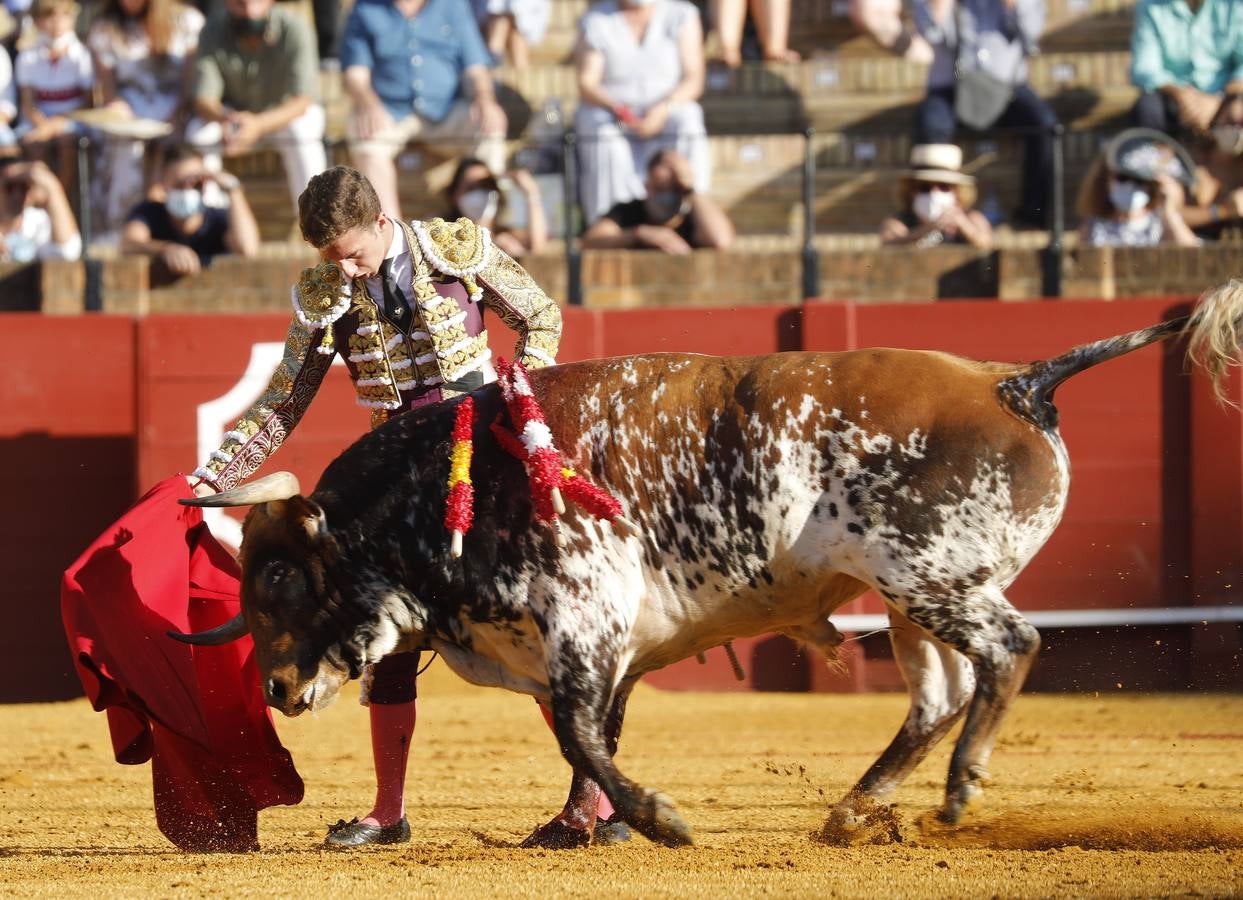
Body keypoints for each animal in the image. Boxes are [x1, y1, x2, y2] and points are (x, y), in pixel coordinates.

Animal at [172, 284, 1243, 845]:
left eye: (279, 579)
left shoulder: (584, 618)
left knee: (1010, 650)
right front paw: (593, 826)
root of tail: (1011, 380)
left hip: (930, 576)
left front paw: (655, 820)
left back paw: (957, 789)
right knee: (937, 695)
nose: (275, 689)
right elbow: (591, 731)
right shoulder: (597, 640)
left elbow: (580, 732)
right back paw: (854, 810)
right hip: (909, 599)